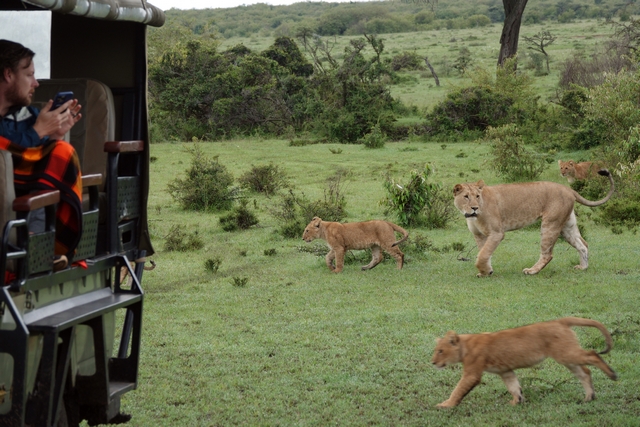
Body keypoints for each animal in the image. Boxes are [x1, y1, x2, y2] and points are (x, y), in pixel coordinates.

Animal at [431, 317, 617, 408]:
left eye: (440, 351)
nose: (432, 362)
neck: (465, 345)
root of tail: (559, 321)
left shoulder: (472, 373)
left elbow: (458, 390)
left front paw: (446, 405)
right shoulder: (505, 371)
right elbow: (514, 387)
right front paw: (516, 402)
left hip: (566, 354)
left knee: (593, 355)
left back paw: (612, 375)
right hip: (567, 358)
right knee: (585, 372)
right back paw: (588, 398)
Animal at [453, 169, 614, 277]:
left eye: (477, 196)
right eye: (466, 196)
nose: (474, 208)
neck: (472, 216)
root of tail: (568, 189)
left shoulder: (497, 233)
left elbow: (483, 254)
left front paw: (485, 271)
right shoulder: (480, 235)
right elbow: (484, 253)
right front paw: (486, 271)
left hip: (550, 223)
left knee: (548, 254)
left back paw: (532, 270)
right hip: (567, 226)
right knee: (583, 244)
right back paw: (583, 267)